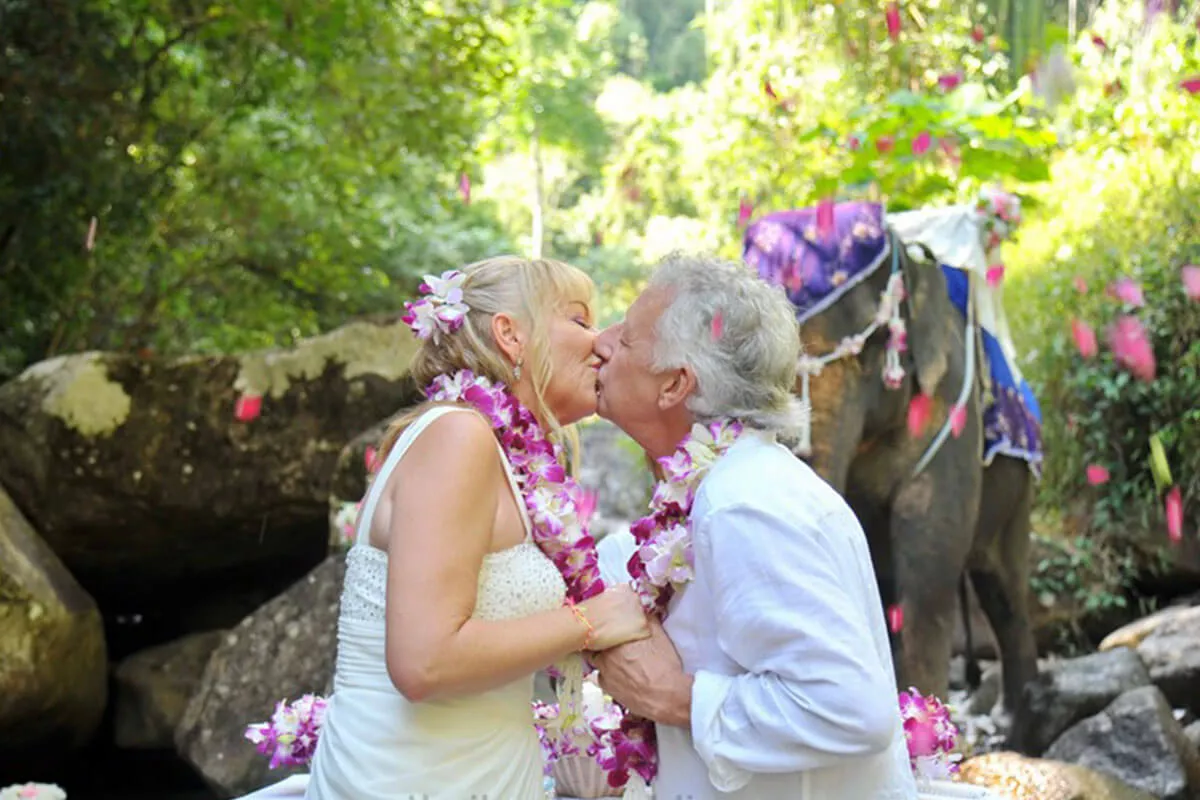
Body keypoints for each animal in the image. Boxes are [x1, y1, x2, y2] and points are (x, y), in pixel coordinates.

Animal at [744, 199, 1046, 753]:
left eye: (872, 344)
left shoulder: (950, 409)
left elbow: (928, 557)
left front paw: (926, 740)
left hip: (1019, 490)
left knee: (1003, 589)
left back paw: (1017, 730)